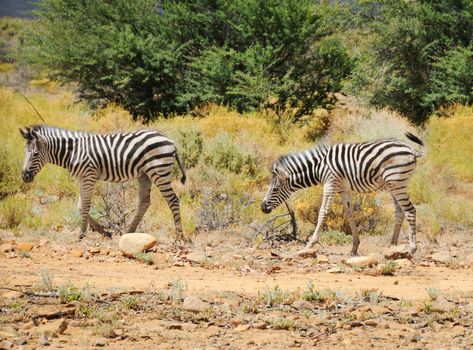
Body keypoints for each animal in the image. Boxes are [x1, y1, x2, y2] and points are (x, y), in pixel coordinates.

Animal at [19, 126, 186, 241]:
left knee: (173, 200)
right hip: (144, 174)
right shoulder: (81, 179)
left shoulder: (88, 176)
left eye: (35, 154)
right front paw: (104, 232)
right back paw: (129, 232)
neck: (73, 152)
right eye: (25, 153)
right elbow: (80, 206)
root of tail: (170, 140)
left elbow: (85, 205)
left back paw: (179, 237)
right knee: (144, 202)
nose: (24, 177)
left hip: (158, 171)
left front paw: (82, 233)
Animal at [262, 133, 424, 256]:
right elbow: (349, 214)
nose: (263, 207)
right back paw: (392, 246)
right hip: (394, 184)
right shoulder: (342, 189)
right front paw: (354, 247)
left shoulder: (330, 183)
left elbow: (323, 212)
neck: (318, 167)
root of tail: (411, 150)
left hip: (396, 182)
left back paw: (411, 249)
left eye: (275, 189)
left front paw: (310, 244)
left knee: (410, 211)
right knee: (399, 212)